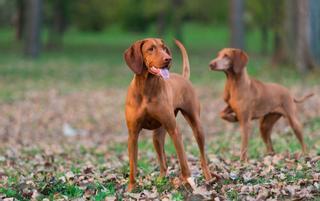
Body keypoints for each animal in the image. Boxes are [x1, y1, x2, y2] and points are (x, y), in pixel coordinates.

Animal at [124, 38, 211, 192]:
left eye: (164, 48)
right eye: (151, 49)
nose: (168, 59)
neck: (146, 88)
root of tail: (183, 78)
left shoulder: (174, 130)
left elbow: (183, 160)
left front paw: (188, 182)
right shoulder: (132, 134)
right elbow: (133, 165)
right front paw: (131, 188)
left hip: (196, 126)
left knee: (202, 157)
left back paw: (208, 178)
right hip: (157, 137)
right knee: (163, 163)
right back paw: (160, 180)